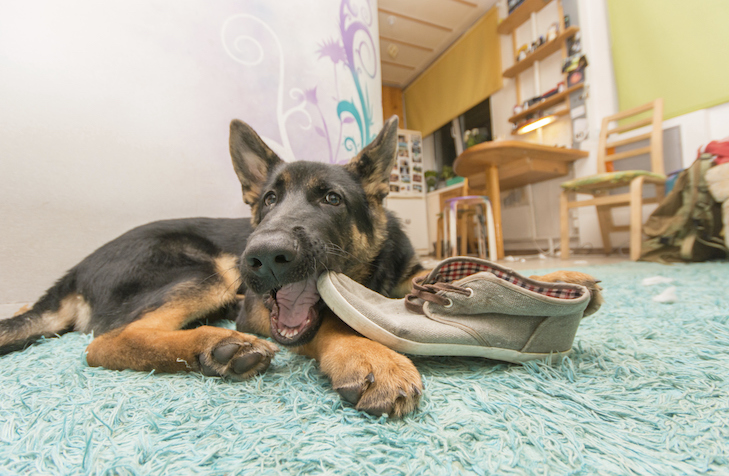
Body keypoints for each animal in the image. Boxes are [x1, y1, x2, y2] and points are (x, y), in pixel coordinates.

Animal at [1, 115, 604, 416]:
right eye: (269, 199)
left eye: (332, 199)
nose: (264, 256)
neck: (369, 275)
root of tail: (75, 269)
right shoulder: (258, 309)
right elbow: (333, 322)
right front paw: (369, 355)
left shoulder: (402, 274)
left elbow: (438, 273)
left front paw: (559, 279)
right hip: (212, 271)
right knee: (106, 343)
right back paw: (214, 345)